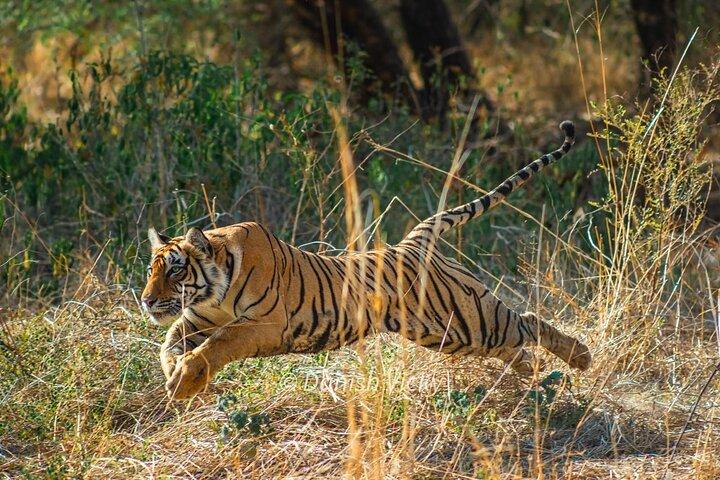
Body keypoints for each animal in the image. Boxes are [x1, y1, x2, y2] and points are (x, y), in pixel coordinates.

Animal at [141, 121, 591, 400]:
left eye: (176, 268)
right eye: (152, 270)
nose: (145, 300)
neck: (215, 290)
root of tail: (414, 241)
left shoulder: (260, 324)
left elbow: (214, 347)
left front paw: (183, 381)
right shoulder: (197, 319)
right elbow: (169, 343)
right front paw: (177, 376)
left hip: (470, 319)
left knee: (527, 321)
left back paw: (581, 357)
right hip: (448, 333)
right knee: (517, 344)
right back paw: (534, 372)